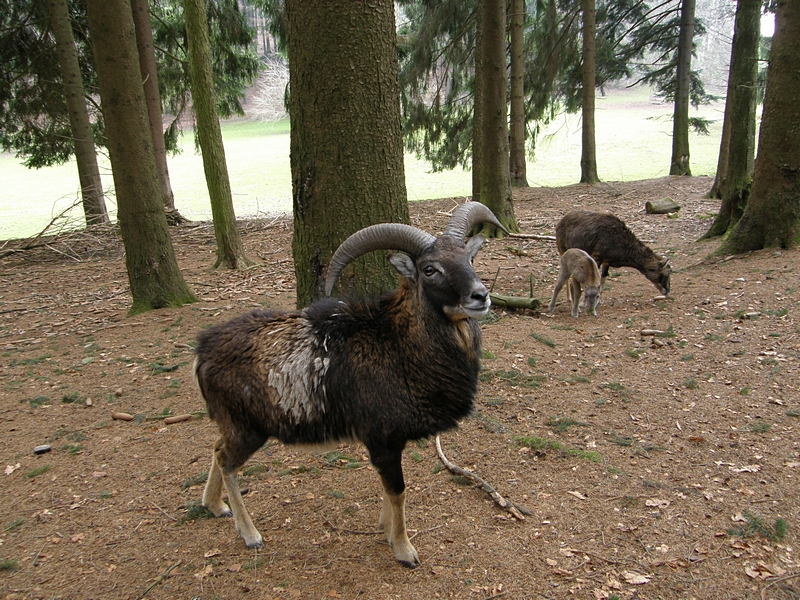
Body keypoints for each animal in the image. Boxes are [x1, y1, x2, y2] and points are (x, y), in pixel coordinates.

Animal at [192, 202, 506, 568]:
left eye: (469, 258)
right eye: (430, 269)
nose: (480, 296)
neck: (397, 345)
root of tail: (203, 350)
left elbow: (389, 491)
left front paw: (386, 529)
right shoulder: (384, 440)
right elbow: (398, 490)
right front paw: (404, 550)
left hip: (234, 425)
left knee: (216, 449)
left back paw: (215, 506)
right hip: (249, 429)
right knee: (226, 460)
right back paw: (250, 534)